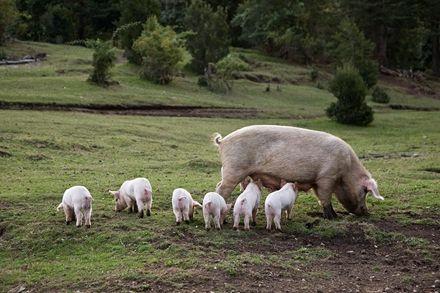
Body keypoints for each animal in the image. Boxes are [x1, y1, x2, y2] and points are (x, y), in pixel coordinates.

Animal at [211, 124, 384, 218]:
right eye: (365, 191)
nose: (366, 212)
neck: (346, 172)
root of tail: (223, 141)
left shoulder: (316, 181)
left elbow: (320, 198)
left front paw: (333, 215)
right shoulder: (326, 177)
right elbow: (325, 197)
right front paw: (332, 218)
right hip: (234, 168)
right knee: (221, 188)